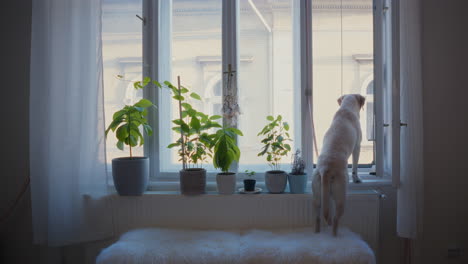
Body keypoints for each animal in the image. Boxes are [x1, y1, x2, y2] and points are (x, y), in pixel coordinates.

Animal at [314, 94, 366, 236]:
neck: (346, 109)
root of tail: (326, 169)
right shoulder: (357, 147)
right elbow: (355, 166)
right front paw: (356, 178)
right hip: (341, 197)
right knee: (336, 220)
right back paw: (336, 235)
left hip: (318, 196)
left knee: (318, 217)